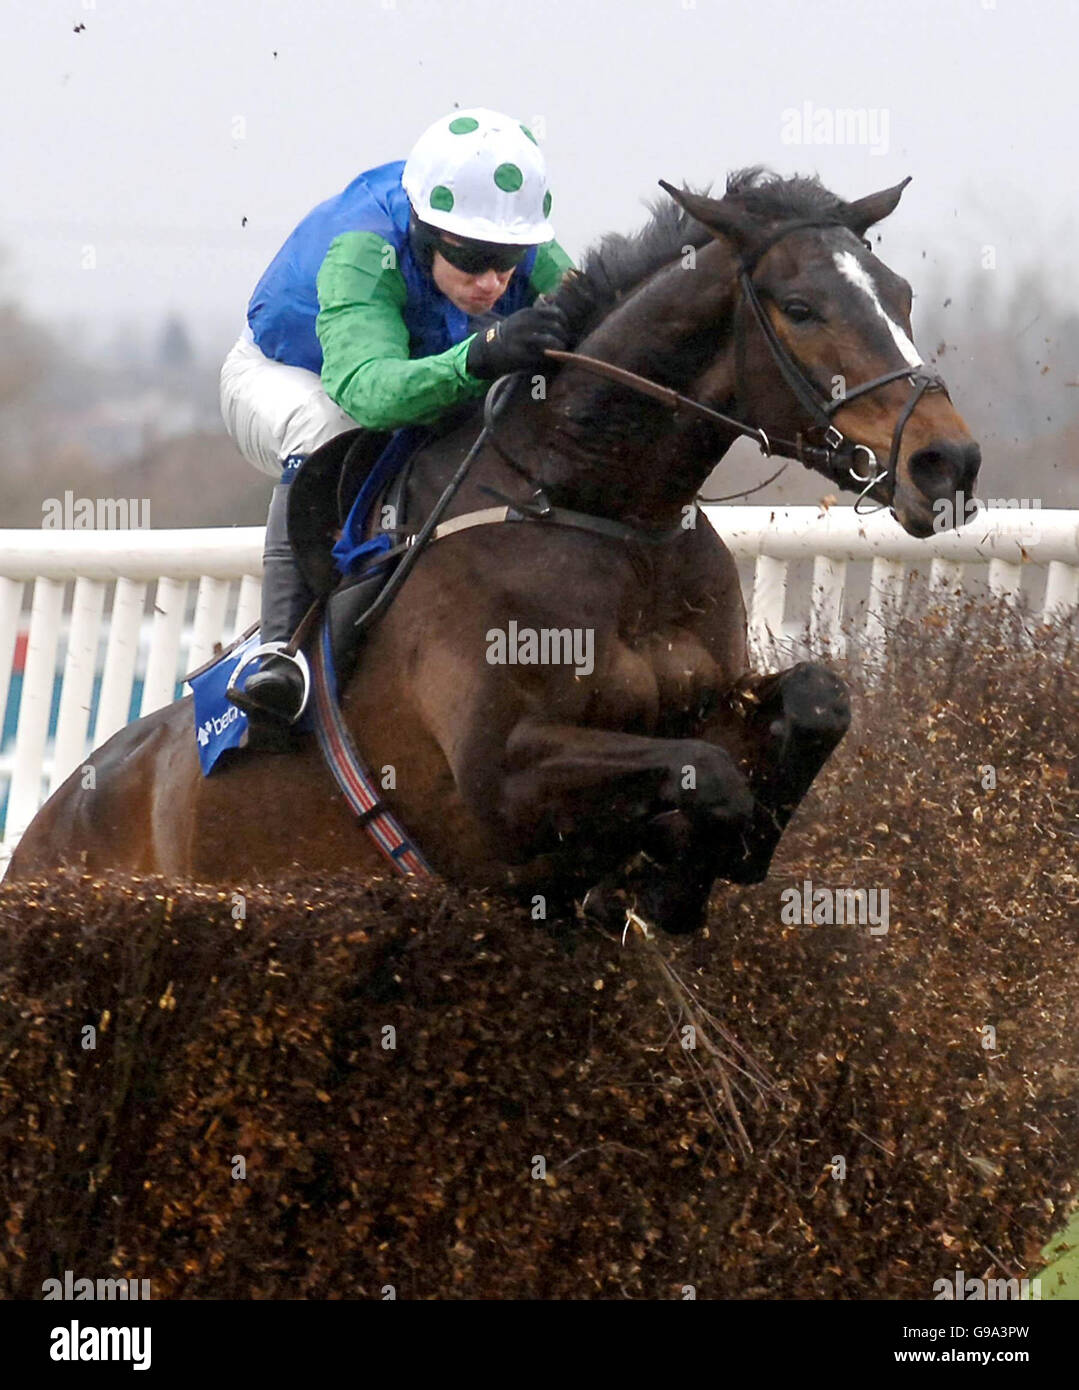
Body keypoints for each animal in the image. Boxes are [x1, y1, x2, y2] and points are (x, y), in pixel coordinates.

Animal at [4, 170, 984, 934]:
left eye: (899, 295)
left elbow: (817, 700)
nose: (945, 461)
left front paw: (708, 866)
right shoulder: (498, 783)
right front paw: (666, 880)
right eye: (801, 307)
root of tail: (48, 825)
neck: (595, 510)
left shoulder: (713, 696)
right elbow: (704, 776)